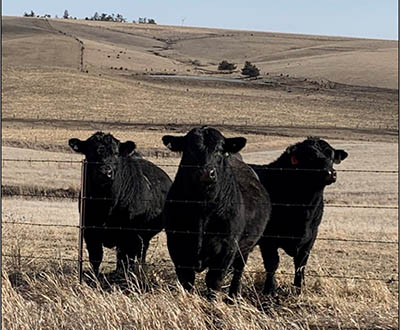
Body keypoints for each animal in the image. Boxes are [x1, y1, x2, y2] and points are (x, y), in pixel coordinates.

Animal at [69, 131, 172, 276]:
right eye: (90, 152)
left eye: (116, 153)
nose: (105, 172)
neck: (106, 204)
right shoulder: (89, 231)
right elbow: (96, 258)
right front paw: (95, 277)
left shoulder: (130, 235)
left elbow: (128, 259)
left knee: (139, 254)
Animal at [162, 127, 272, 298]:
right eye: (190, 149)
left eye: (220, 150)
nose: (206, 173)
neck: (202, 210)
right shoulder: (176, 244)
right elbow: (186, 280)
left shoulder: (227, 247)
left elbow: (214, 281)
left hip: (245, 249)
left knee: (238, 271)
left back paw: (233, 296)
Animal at [250, 135, 346, 296]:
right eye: (309, 156)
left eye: (331, 156)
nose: (330, 173)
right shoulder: (268, 239)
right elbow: (272, 264)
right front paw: (269, 290)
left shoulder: (311, 236)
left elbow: (300, 264)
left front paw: (299, 289)